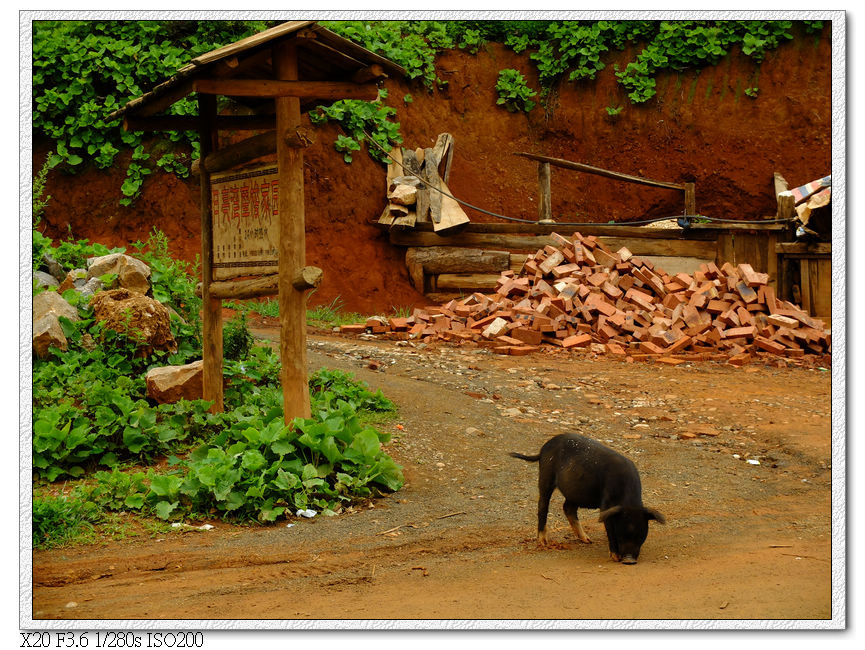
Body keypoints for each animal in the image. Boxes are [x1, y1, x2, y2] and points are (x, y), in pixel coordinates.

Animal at [510, 430, 664, 560]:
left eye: (641, 535)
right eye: (621, 533)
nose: (629, 560)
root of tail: (543, 448)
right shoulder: (606, 505)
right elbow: (609, 528)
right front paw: (615, 557)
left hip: (575, 492)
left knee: (568, 508)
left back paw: (587, 540)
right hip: (546, 474)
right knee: (543, 505)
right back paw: (543, 542)